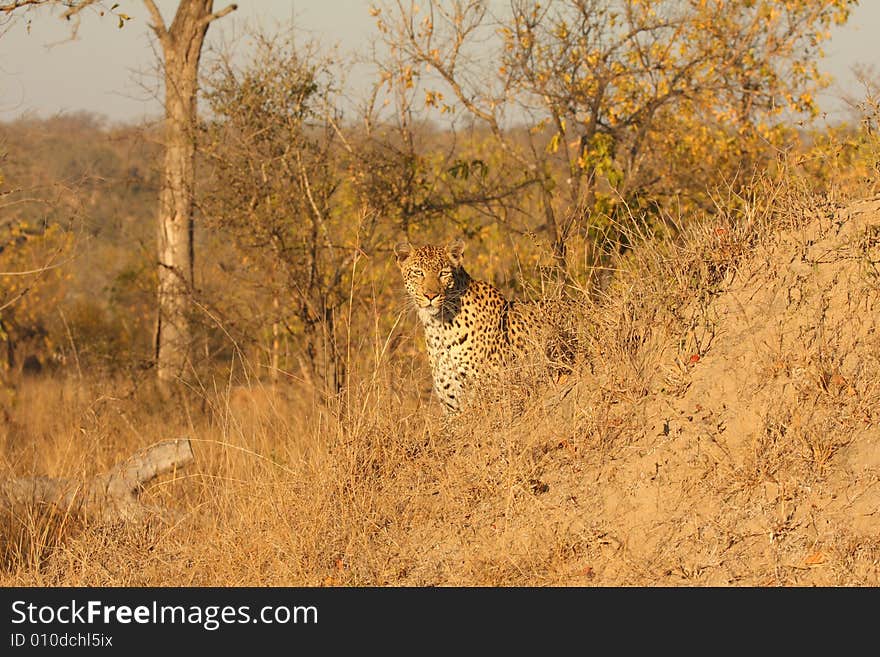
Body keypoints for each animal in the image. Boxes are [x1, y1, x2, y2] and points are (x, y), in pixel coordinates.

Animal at [394, 236, 576, 410]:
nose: (431, 295)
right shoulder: (452, 404)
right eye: (418, 272)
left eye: (444, 273)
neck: (439, 327)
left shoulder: (495, 394)